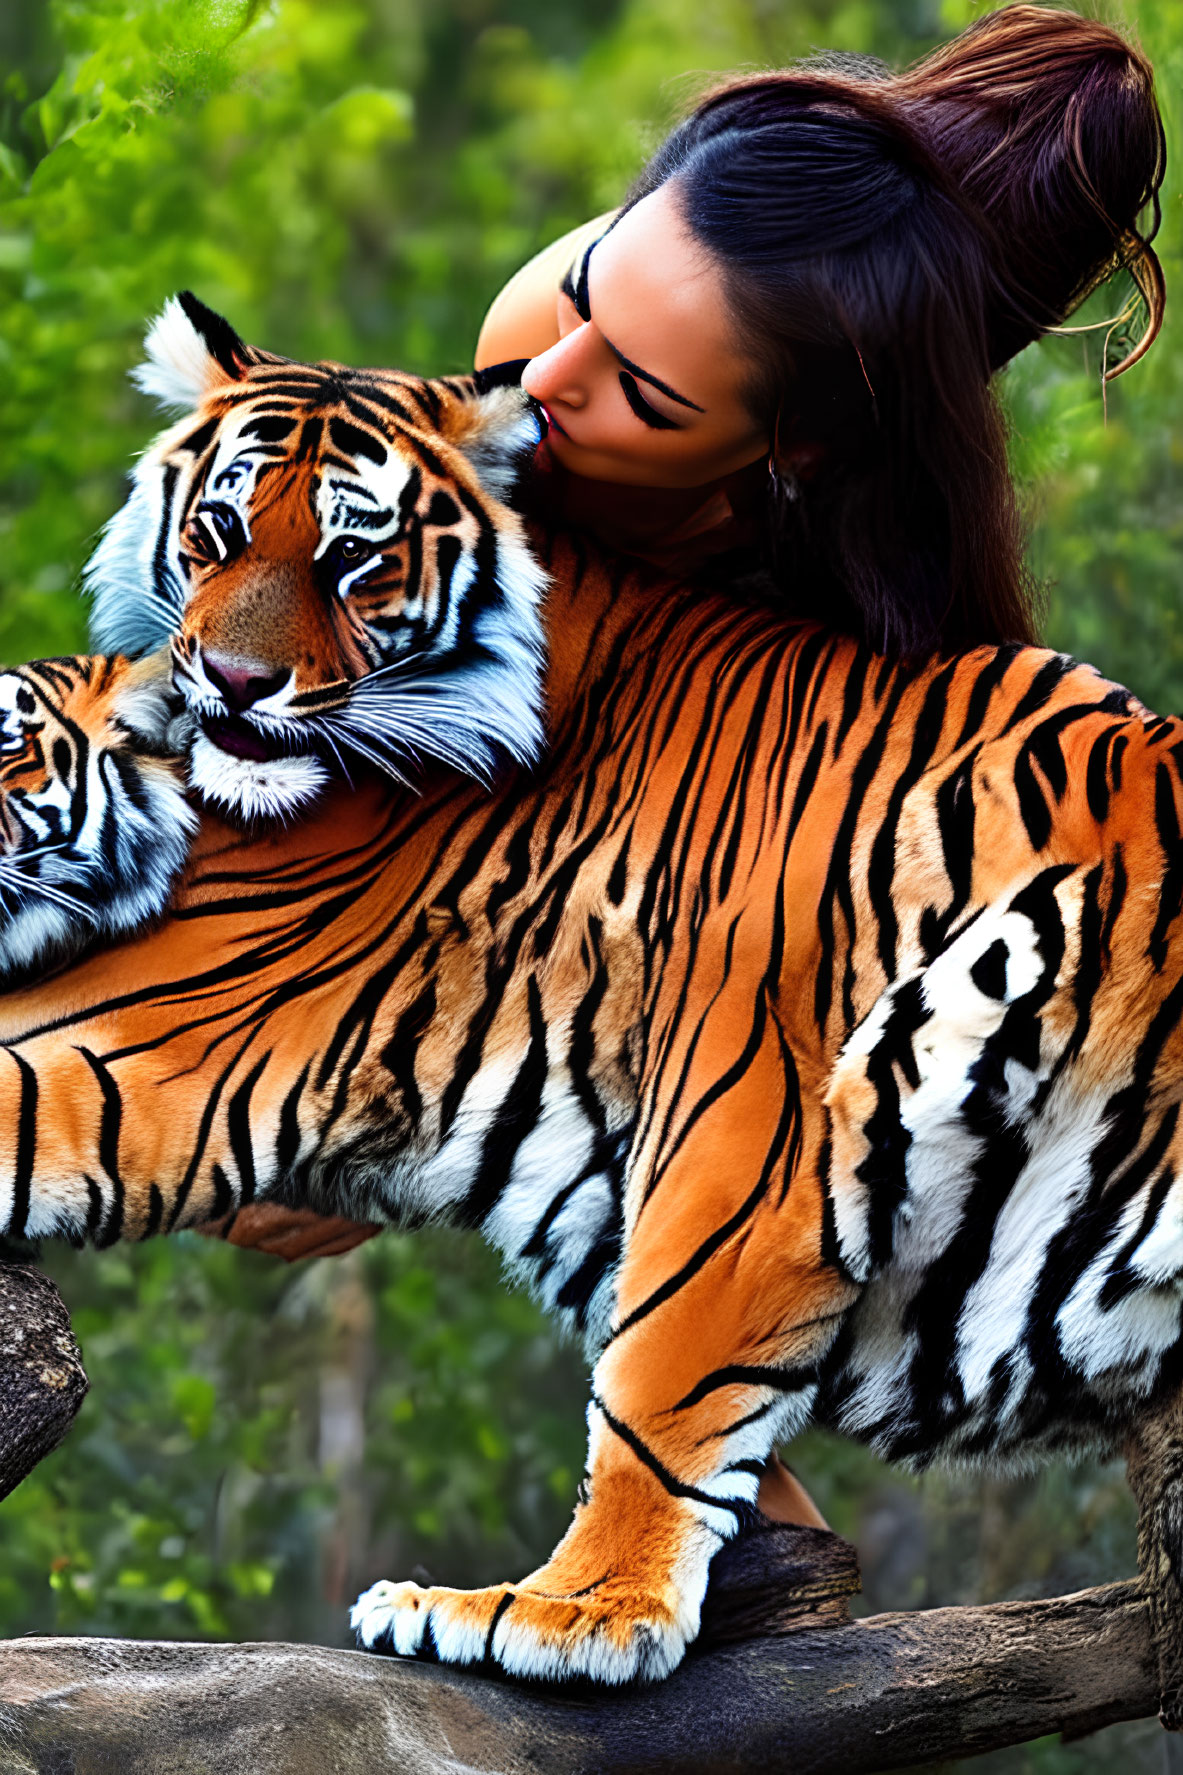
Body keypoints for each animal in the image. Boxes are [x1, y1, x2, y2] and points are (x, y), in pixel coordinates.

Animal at [2, 312, 1179, 1682]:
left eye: (353, 558)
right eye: (220, 529)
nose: (233, 682)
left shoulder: (742, 1109)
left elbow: (663, 1373)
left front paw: (578, 1617)